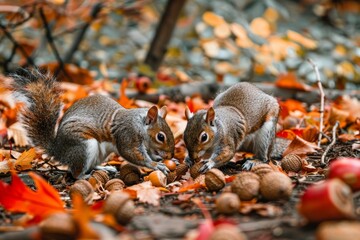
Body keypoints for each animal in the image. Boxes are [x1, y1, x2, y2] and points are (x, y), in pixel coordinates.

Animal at [10, 69, 174, 178]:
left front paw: (159, 159)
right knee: (75, 172)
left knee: (91, 165)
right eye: (160, 137)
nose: (171, 154)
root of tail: (58, 150)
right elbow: (132, 154)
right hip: (84, 147)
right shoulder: (127, 134)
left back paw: (104, 169)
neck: (139, 124)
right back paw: (84, 176)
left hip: (100, 153)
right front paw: (156, 165)